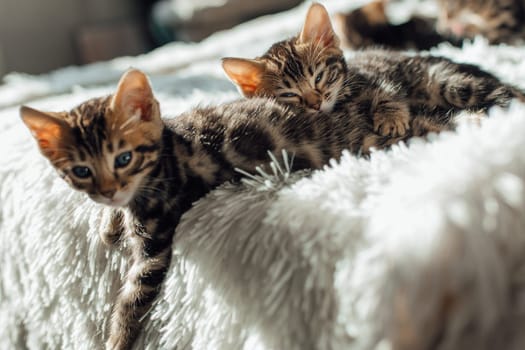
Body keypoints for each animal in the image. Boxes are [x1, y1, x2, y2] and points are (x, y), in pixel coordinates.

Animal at [21, 69, 372, 350]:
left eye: (124, 158)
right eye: (82, 171)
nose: (108, 192)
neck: (165, 153)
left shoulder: (156, 243)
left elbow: (133, 296)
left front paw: (117, 340)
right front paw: (109, 226)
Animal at [222, 3, 524, 150]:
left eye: (319, 78)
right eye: (289, 95)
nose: (316, 104)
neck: (343, 97)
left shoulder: (377, 77)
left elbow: (387, 93)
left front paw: (390, 118)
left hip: (449, 83)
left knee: (503, 94)